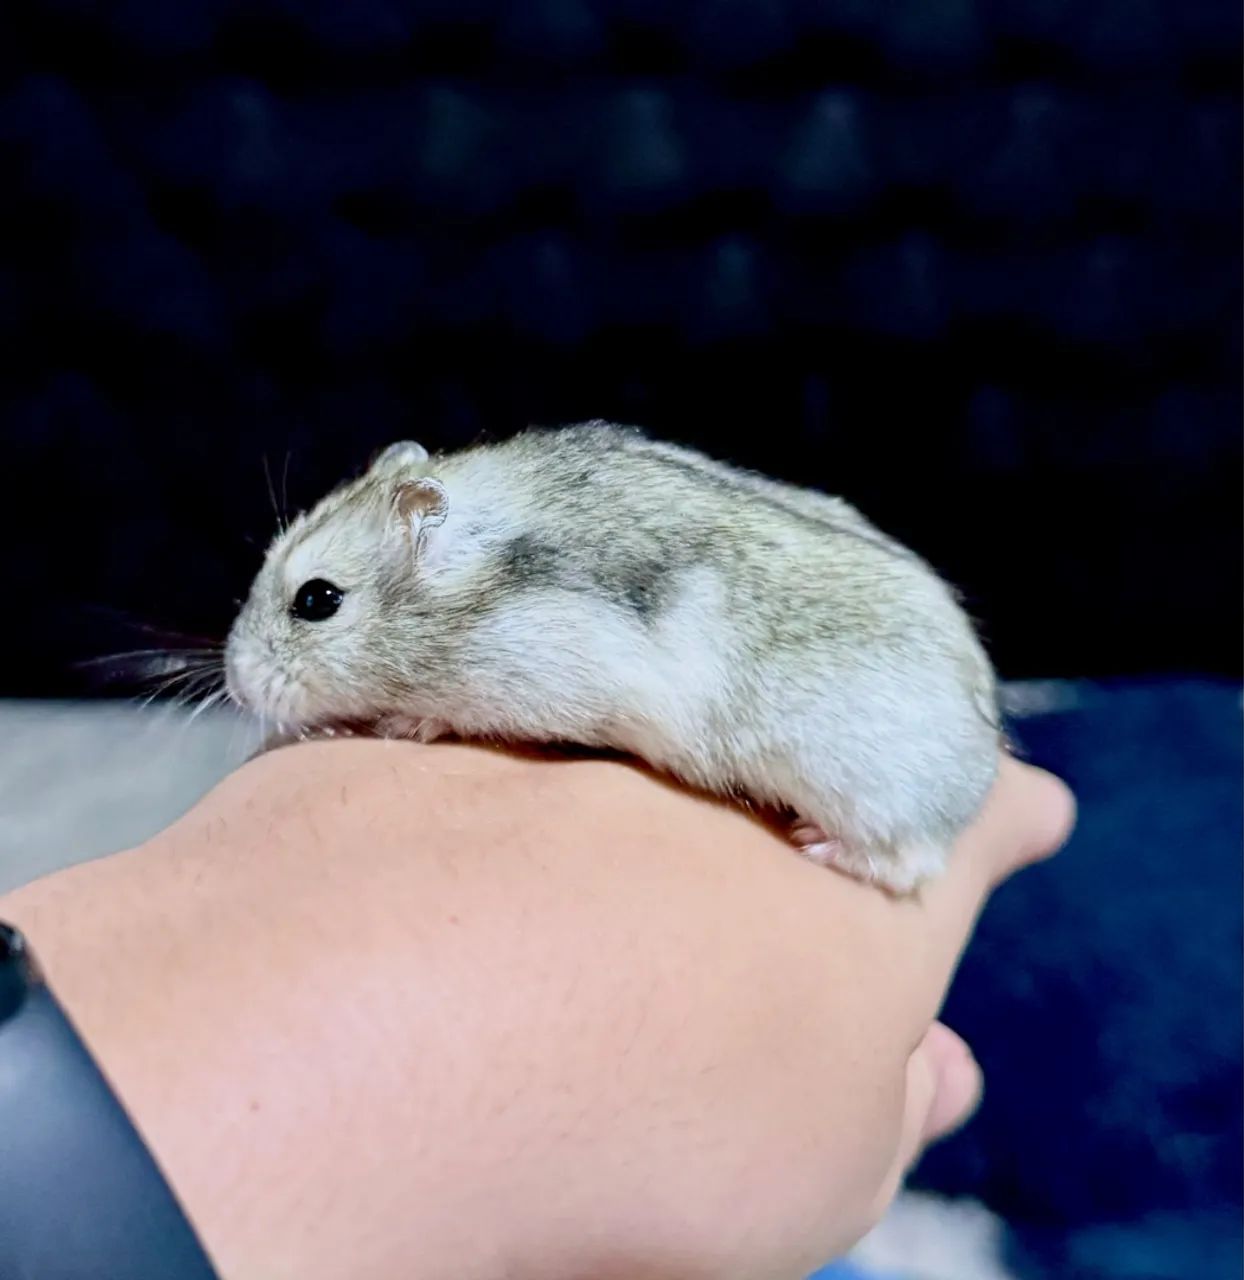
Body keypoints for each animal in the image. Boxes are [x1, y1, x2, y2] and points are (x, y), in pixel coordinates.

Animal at [226, 422, 1001, 893]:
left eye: (317, 599)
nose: (236, 683)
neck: (471, 587)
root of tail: (984, 758)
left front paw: (400, 723)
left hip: (868, 795)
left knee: (908, 864)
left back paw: (815, 841)